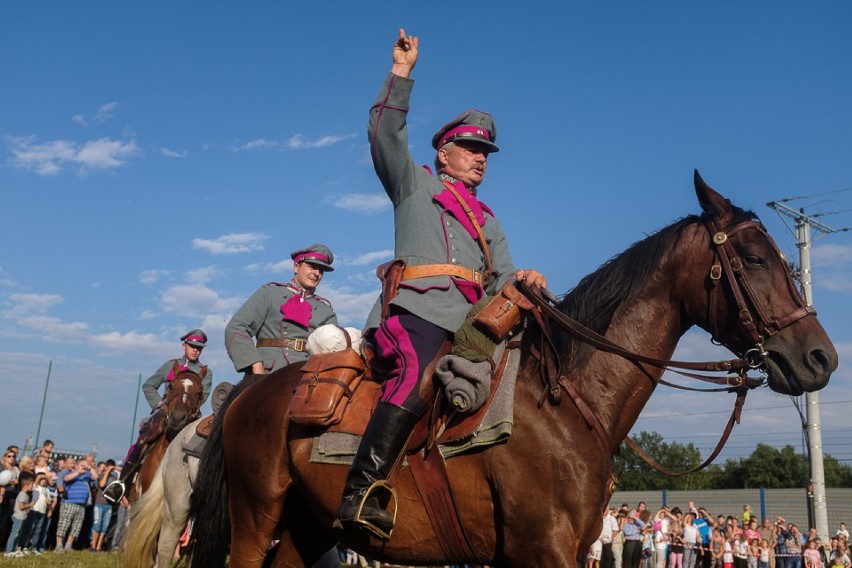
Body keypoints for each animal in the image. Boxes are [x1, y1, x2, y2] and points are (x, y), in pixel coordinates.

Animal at [188, 174, 840, 568]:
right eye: (753, 259)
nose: (822, 358)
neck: (567, 401)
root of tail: (252, 391)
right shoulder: (542, 548)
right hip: (256, 518)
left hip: (306, 528)